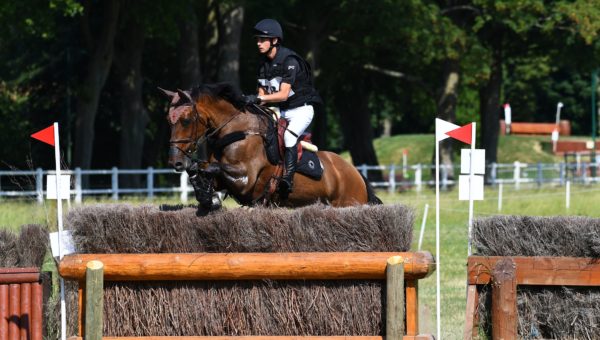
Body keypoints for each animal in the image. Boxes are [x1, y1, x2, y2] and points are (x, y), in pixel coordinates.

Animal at [162, 83, 382, 209]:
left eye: (186, 120)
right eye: (169, 120)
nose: (175, 162)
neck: (236, 131)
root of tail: (356, 174)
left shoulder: (245, 178)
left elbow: (211, 168)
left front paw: (208, 195)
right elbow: (202, 170)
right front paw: (207, 196)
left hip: (349, 200)